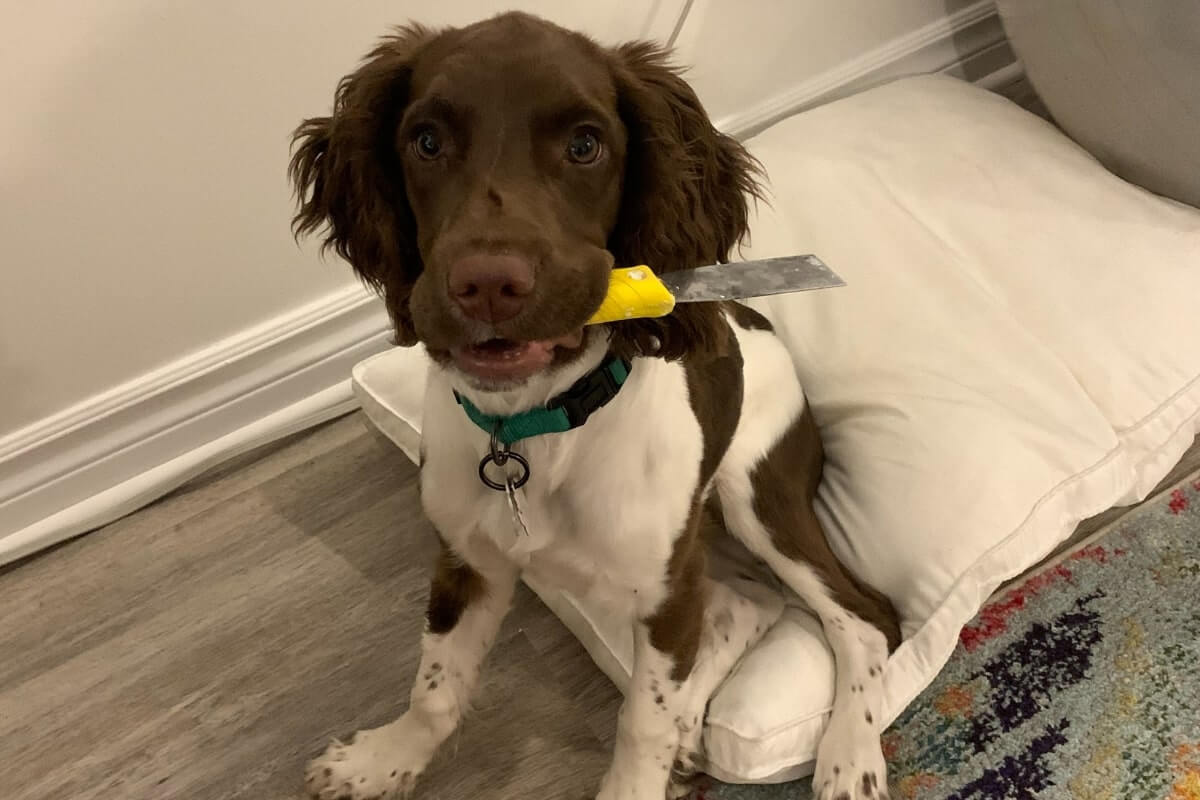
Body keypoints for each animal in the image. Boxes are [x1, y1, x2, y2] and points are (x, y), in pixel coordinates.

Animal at [288, 12, 892, 800]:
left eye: (584, 145)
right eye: (426, 141)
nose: (487, 285)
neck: (535, 426)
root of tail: (753, 318)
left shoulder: (664, 592)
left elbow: (640, 721)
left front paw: (646, 765)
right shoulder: (469, 558)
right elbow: (436, 686)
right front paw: (381, 760)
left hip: (756, 495)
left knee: (864, 617)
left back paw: (849, 760)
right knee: (746, 608)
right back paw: (695, 736)